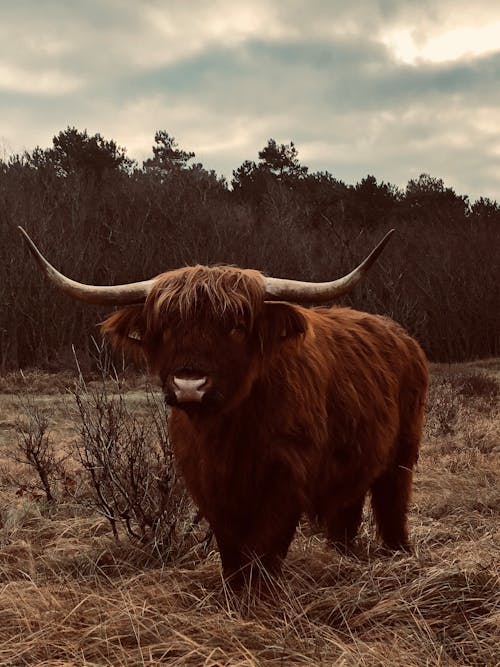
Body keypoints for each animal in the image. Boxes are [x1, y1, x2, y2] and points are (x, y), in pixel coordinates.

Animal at [18, 228, 426, 584]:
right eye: (165, 327)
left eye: (236, 327)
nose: (189, 385)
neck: (227, 436)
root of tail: (402, 337)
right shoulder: (207, 486)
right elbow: (231, 553)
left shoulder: (285, 482)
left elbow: (264, 552)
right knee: (347, 516)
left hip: (402, 456)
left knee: (392, 507)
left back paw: (399, 556)